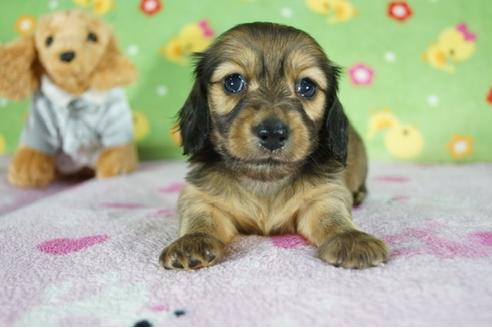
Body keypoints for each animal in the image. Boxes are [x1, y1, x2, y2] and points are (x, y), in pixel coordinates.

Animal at [160, 21, 388, 270]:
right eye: (233, 82)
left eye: (306, 86)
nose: (272, 133)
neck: (265, 181)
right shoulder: (199, 197)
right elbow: (201, 217)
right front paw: (193, 240)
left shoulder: (325, 195)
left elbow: (332, 218)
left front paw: (349, 238)